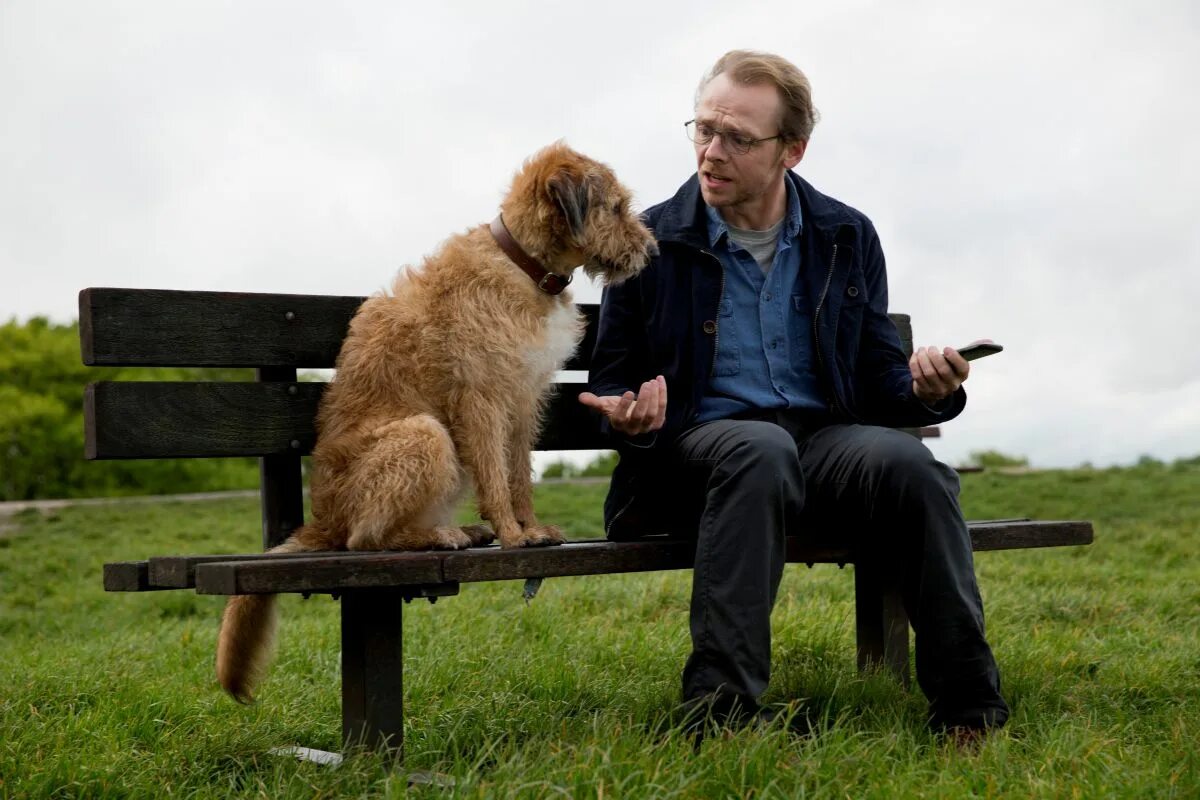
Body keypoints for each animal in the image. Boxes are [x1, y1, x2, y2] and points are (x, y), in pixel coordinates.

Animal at [220, 142, 662, 700]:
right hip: (424, 434)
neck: (524, 266)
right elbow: (496, 478)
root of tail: (320, 523)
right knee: (363, 539)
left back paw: (460, 530)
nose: (652, 252)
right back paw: (437, 537)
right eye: (616, 207)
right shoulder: (482, 398)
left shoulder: (524, 402)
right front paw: (514, 536)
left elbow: (519, 475)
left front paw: (530, 526)